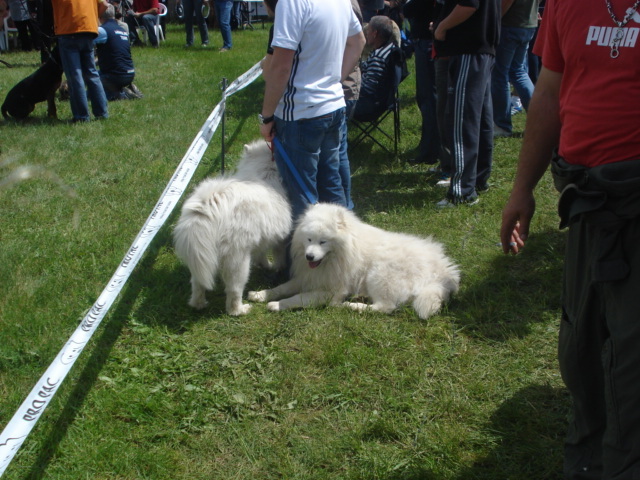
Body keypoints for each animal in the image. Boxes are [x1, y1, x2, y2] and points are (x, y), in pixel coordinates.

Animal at [170, 140, 290, 316]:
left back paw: (199, 304)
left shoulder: (260, 241)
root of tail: (209, 208)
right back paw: (240, 310)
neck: (265, 172)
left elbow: (261, 256)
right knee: (234, 291)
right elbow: (278, 257)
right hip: (237, 262)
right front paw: (276, 268)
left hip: (200, 257)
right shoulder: (279, 240)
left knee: (197, 283)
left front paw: (266, 266)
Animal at [248, 202, 462, 318]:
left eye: (323, 241)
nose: (309, 256)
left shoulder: (333, 291)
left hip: (379, 275)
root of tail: (442, 273)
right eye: (309, 239)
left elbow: (299, 298)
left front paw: (277, 305)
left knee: (385, 307)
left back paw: (352, 306)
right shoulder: (308, 277)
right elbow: (281, 288)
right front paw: (259, 294)